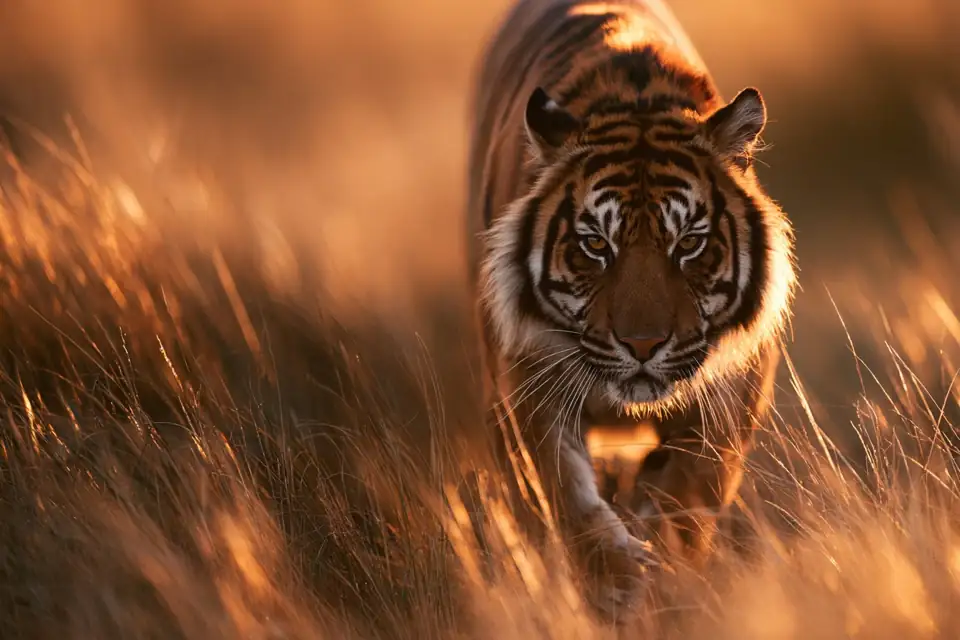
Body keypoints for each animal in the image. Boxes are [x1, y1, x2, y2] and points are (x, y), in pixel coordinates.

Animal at [466, 0, 797, 620]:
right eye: (597, 244)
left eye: (689, 242)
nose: (643, 347)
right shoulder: (528, 379)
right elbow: (566, 494)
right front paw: (618, 580)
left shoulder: (734, 391)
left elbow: (693, 486)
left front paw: (663, 561)